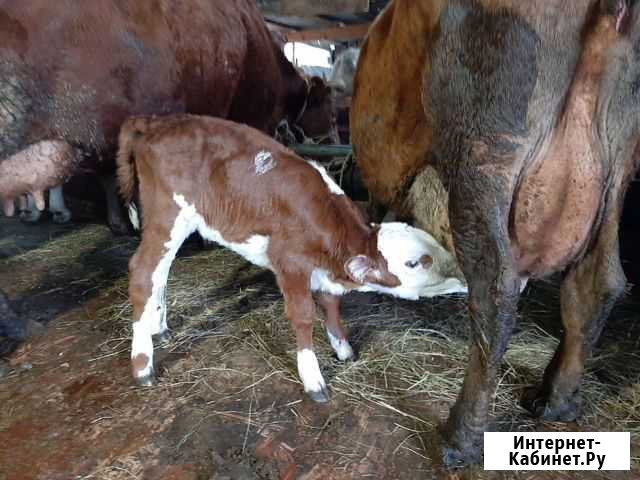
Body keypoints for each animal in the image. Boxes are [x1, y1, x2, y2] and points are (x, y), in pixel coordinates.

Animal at [115, 115, 464, 402]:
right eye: (415, 262)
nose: (460, 272)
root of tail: (157, 122)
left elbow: (332, 305)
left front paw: (343, 348)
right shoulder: (289, 263)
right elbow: (304, 315)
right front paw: (313, 379)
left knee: (161, 273)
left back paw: (159, 327)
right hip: (166, 214)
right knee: (143, 272)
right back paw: (143, 365)